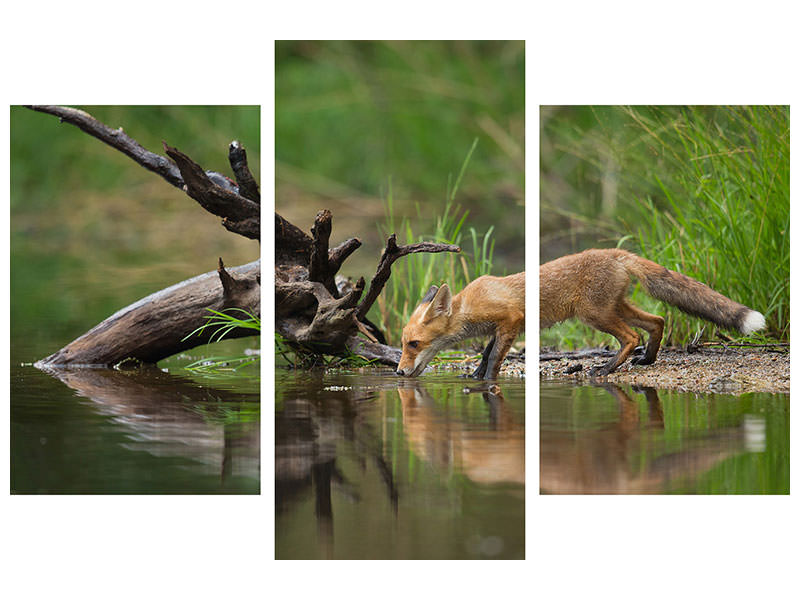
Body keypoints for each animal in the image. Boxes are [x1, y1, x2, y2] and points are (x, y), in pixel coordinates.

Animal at [396, 272, 525, 379]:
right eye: (402, 344)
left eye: (414, 343)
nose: (399, 372)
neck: (467, 308)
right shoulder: (496, 330)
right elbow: (485, 354)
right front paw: (475, 376)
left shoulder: (511, 320)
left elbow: (494, 356)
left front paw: (489, 379)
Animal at [540, 248, 766, 376]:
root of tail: (614, 253)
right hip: (614, 308)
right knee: (657, 321)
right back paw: (647, 358)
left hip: (594, 313)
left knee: (632, 336)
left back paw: (606, 368)